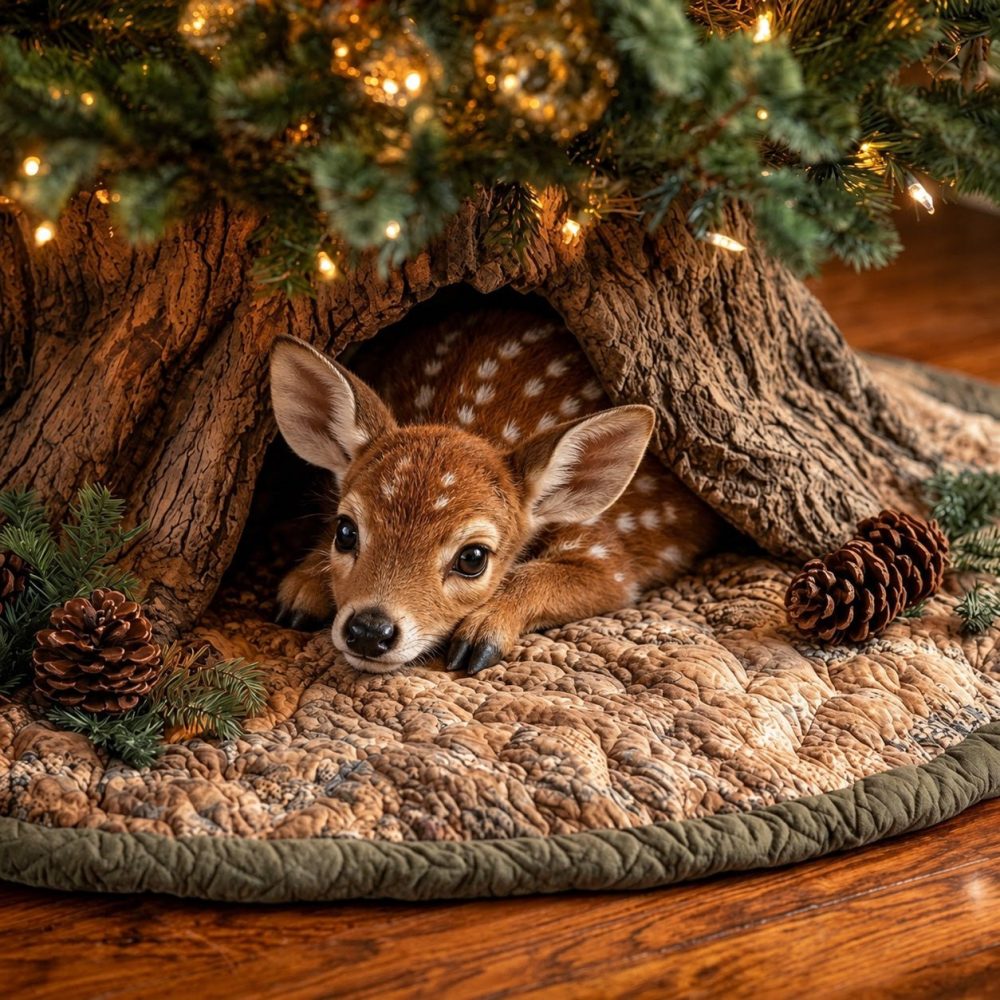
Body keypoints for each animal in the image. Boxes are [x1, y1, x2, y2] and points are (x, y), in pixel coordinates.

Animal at [269, 307, 723, 675]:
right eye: (345, 531)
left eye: (473, 558)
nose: (368, 630)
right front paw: (303, 590)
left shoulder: (607, 554)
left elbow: (571, 576)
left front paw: (481, 635)